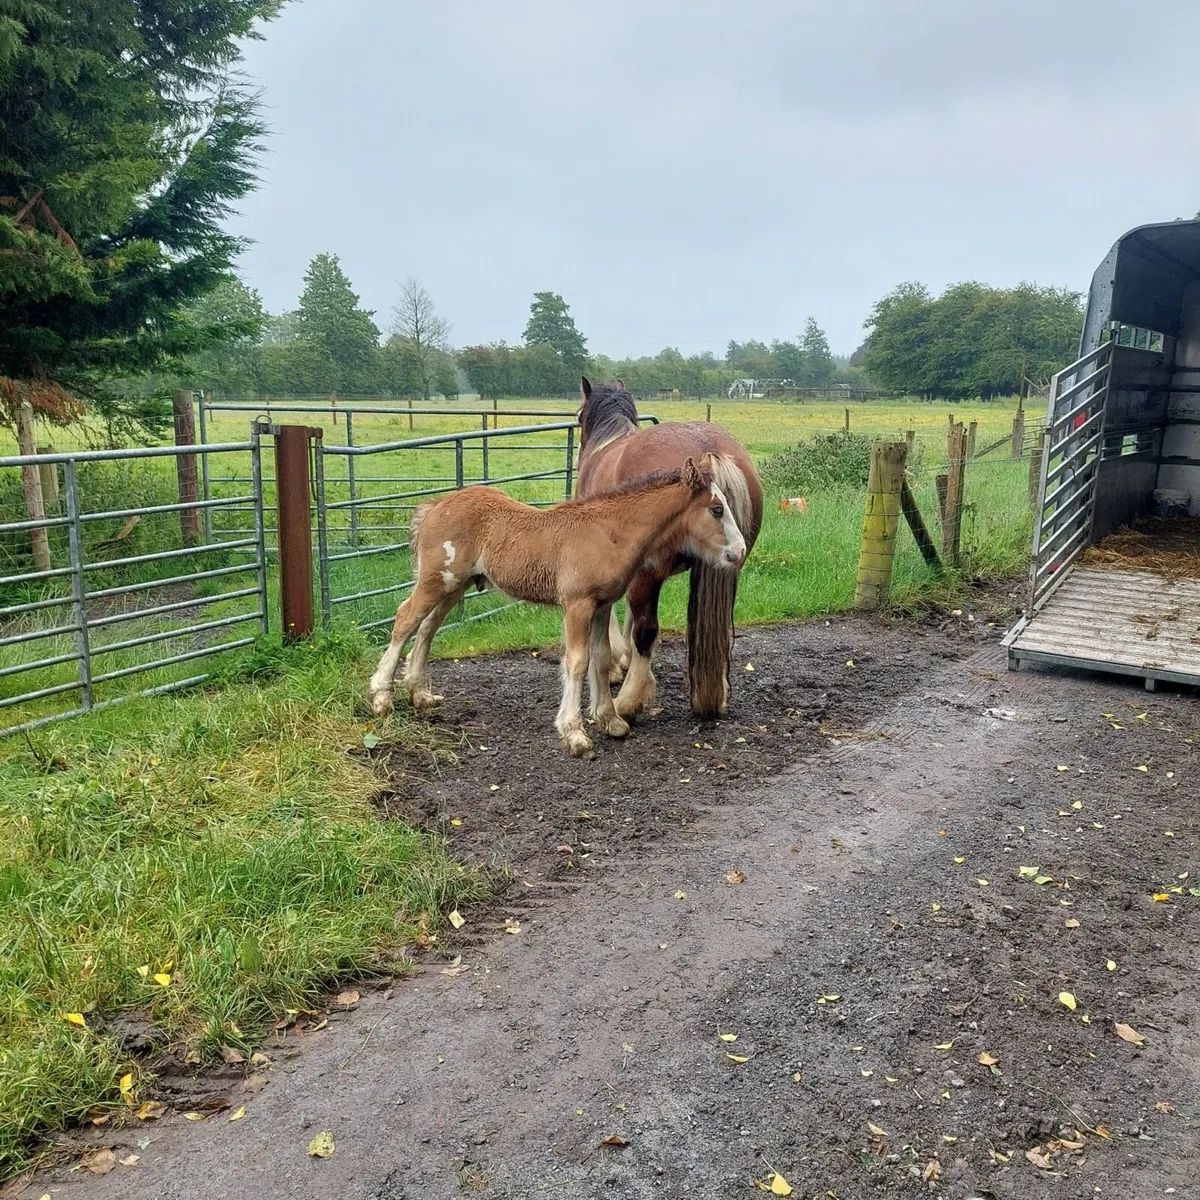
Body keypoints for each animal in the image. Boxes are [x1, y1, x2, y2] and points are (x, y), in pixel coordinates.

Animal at [367, 456, 746, 758]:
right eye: (716, 509)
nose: (739, 551)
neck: (609, 532)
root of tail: (436, 505)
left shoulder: (602, 606)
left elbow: (602, 658)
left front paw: (610, 720)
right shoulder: (577, 605)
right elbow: (577, 663)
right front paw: (574, 733)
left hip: (455, 586)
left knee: (428, 628)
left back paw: (420, 695)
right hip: (436, 580)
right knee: (405, 620)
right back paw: (382, 697)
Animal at [575, 378, 763, 719]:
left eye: (578, 417)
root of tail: (707, 452)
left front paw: (616, 666)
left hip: (649, 573)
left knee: (646, 631)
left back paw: (628, 702)